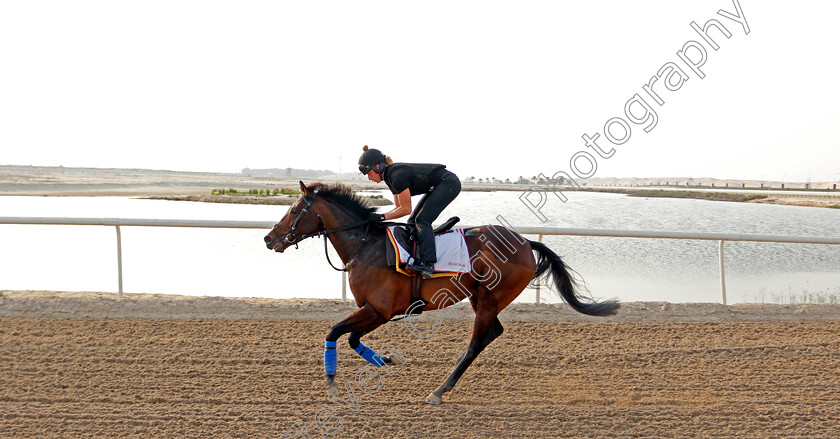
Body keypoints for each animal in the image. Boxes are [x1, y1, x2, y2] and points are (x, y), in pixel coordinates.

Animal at [266, 182, 620, 406]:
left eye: (294, 209)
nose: (270, 239)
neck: (365, 245)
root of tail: (524, 242)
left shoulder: (379, 310)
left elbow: (335, 332)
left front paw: (332, 387)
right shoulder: (375, 311)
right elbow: (352, 339)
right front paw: (387, 359)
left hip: (489, 298)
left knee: (477, 341)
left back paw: (439, 391)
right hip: (481, 297)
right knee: (493, 332)